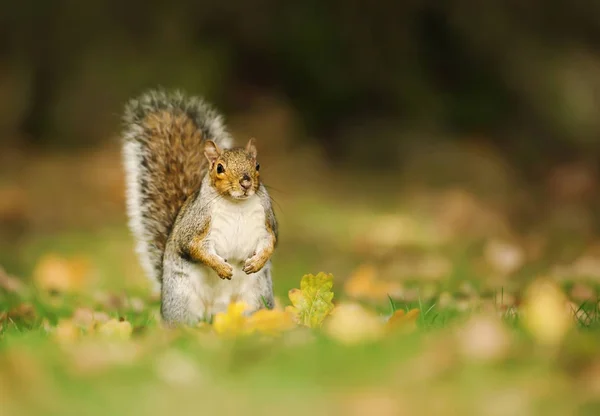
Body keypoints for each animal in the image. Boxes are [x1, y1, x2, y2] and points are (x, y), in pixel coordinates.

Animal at [122, 88, 282, 324]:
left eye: (257, 166)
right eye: (219, 168)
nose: (246, 182)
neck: (236, 203)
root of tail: (214, 315)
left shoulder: (266, 220)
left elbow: (271, 241)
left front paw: (257, 262)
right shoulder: (197, 223)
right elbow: (193, 246)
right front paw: (221, 267)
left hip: (255, 298)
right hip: (182, 299)